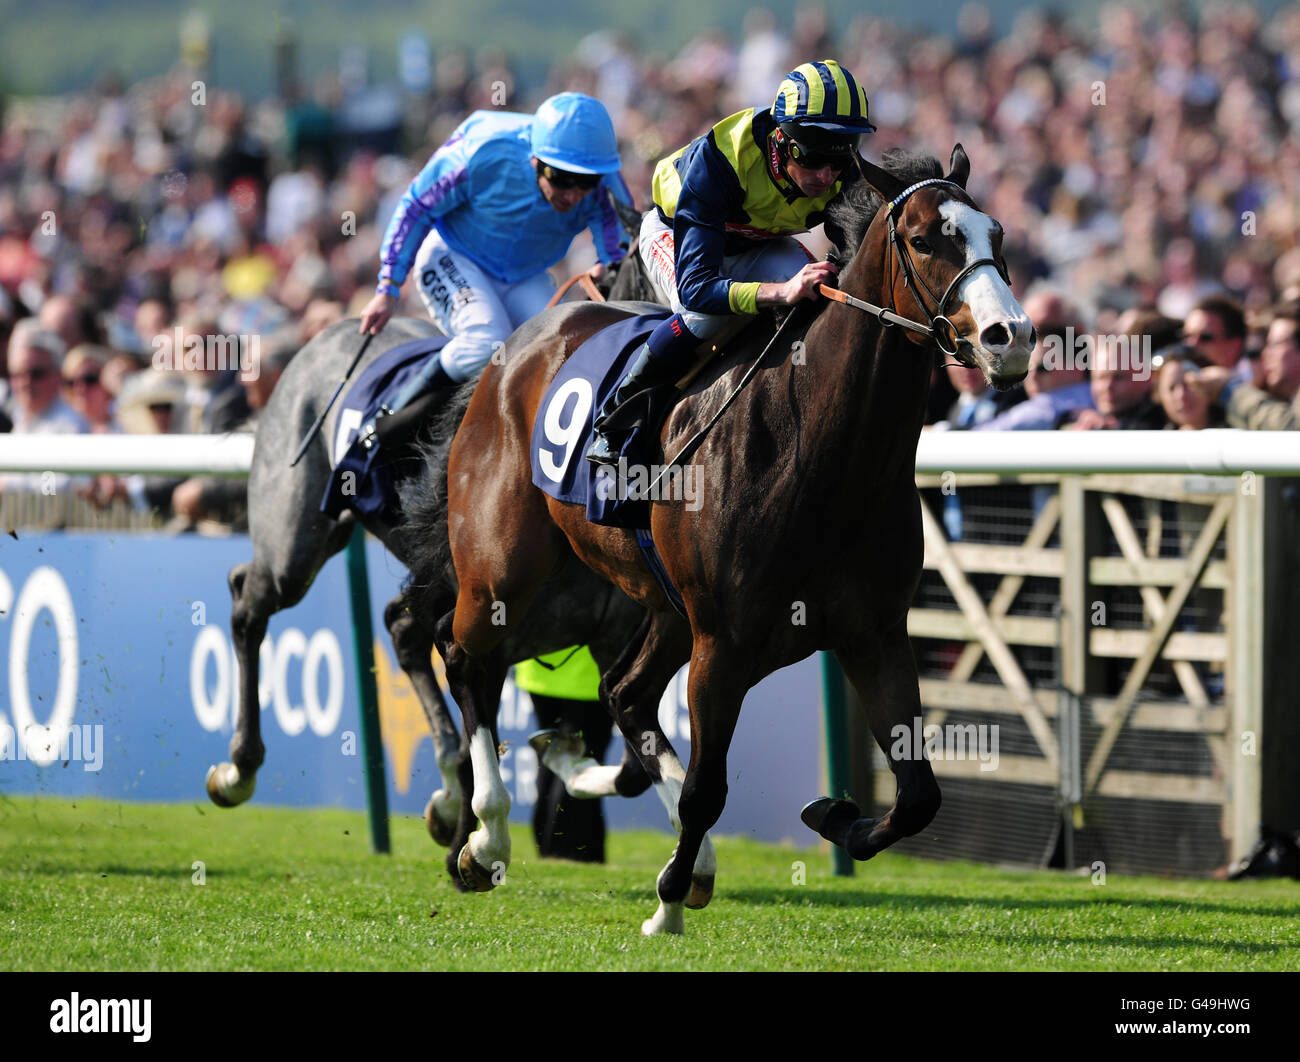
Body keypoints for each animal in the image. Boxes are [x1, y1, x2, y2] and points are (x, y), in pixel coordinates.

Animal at [426, 144, 1034, 930]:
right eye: (927, 239)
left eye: (1000, 236)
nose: (1011, 339)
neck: (822, 452)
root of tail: (516, 344)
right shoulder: (724, 640)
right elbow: (705, 790)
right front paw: (666, 910)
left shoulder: (874, 632)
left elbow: (919, 794)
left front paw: (835, 818)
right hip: (502, 567)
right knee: (465, 655)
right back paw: (484, 837)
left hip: (660, 605)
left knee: (622, 692)